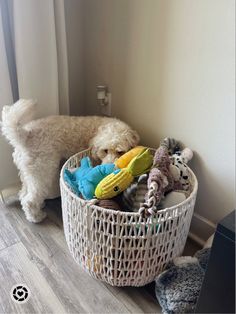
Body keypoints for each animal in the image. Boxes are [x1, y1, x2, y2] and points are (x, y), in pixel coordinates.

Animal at [0, 99, 139, 222]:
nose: (110, 168)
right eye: (105, 150)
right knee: (29, 199)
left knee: (23, 193)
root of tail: (26, 135)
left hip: (28, 172)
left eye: (120, 152)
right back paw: (36, 217)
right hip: (42, 171)